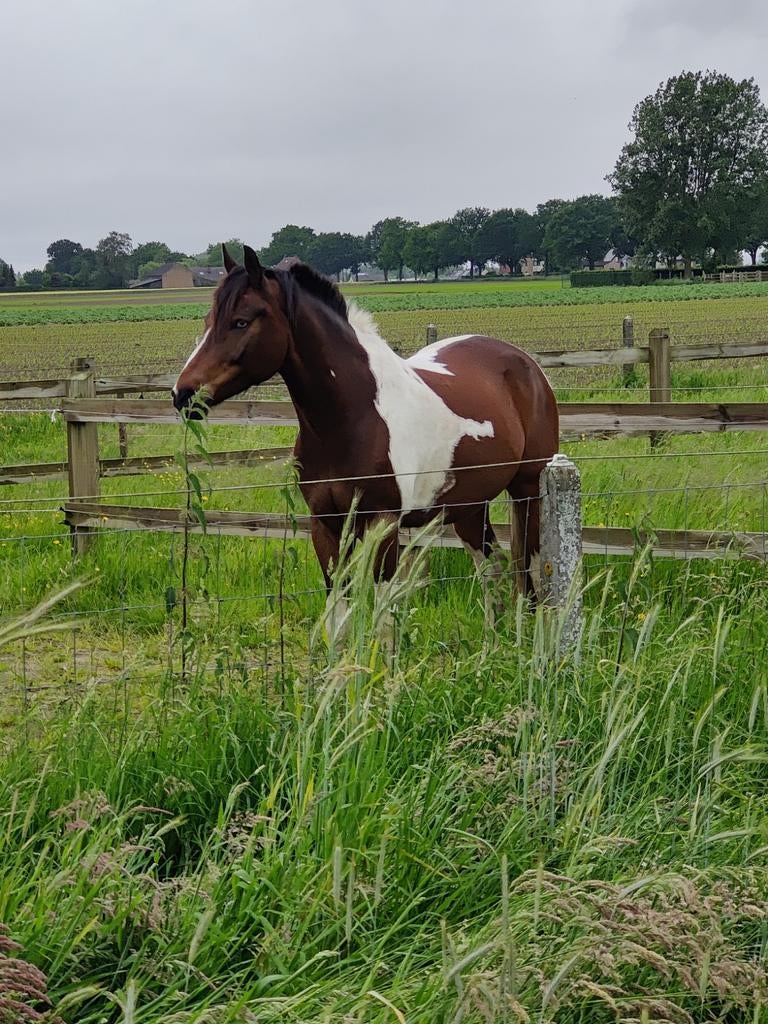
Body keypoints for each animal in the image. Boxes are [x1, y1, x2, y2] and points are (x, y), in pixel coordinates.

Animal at [172, 244, 559, 636]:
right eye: (209, 319)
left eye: (241, 320)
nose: (183, 394)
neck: (351, 418)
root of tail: (526, 364)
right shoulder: (326, 525)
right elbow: (338, 619)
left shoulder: (383, 524)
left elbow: (384, 622)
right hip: (468, 505)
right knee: (493, 569)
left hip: (528, 490)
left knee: (532, 573)